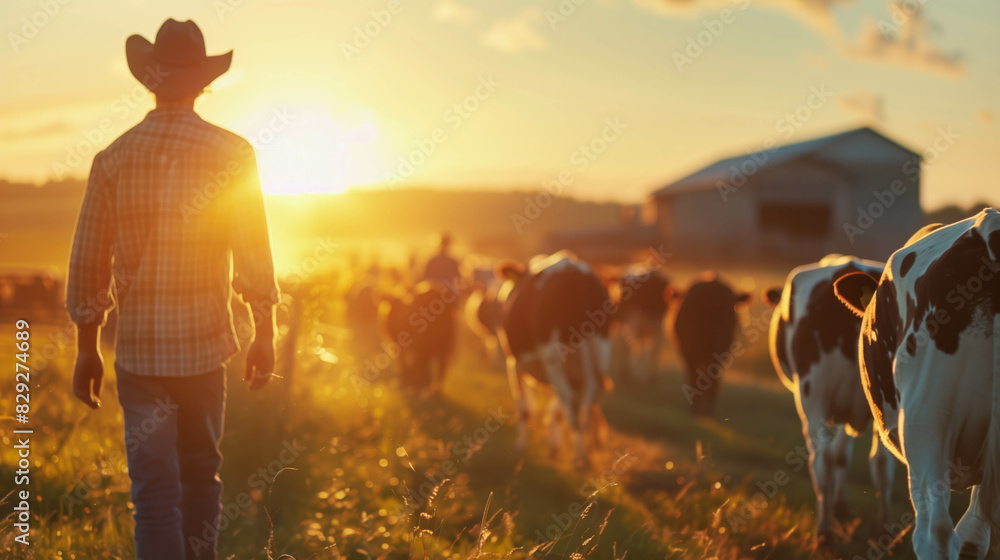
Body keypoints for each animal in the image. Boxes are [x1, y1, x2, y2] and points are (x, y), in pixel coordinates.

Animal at [496, 252, 612, 466]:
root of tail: (576, 274)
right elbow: (556, 411)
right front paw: (554, 448)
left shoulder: (513, 362)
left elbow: (525, 409)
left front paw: (522, 447)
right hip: (599, 349)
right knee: (589, 396)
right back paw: (585, 455)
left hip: (554, 355)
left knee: (571, 400)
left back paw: (580, 458)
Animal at [764, 255, 900, 544]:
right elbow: (846, 455)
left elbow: (838, 455)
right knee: (878, 463)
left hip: (814, 399)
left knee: (822, 461)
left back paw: (824, 531)